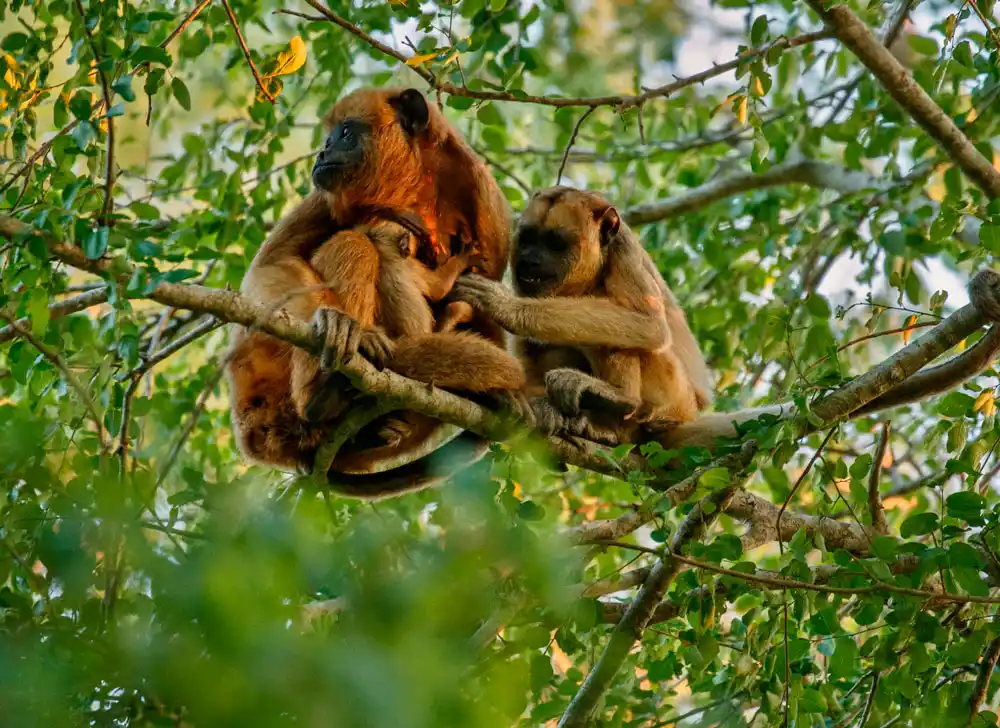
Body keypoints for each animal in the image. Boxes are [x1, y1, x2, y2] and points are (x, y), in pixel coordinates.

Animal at [226, 86, 525, 498]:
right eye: (329, 136)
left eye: (346, 133)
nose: (322, 152)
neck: (416, 183)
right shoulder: (325, 193)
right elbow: (272, 264)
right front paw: (334, 322)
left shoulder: (488, 206)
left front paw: (498, 393)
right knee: (353, 244)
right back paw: (325, 390)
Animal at [451, 186, 713, 445]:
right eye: (528, 238)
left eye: (555, 243)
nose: (530, 260)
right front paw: (522, 401)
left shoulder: (623, 249)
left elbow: (650, 323)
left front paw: (505, 306)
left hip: (673, 394)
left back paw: (620, 399)